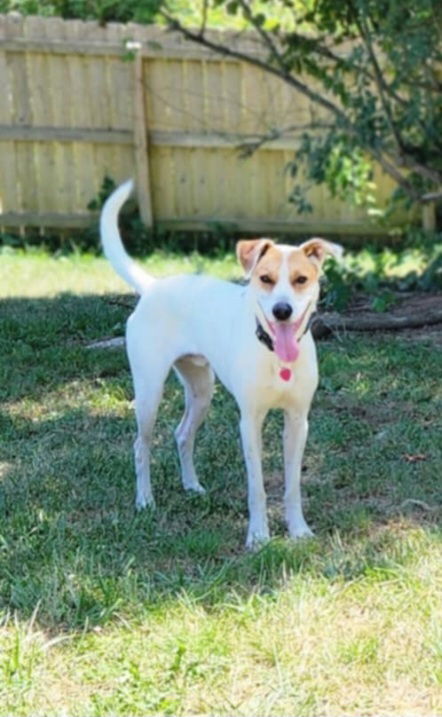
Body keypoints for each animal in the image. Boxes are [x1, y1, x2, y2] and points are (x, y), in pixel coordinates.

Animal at [99, 180, 342, 548]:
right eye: (265, 278)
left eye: (301, 279)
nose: (282, 310)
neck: (274, 355)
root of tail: (154, 287)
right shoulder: (250, 422)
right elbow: (257, 488)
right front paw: (258, 535)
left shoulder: (298, 421)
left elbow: (292, 486)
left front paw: (298, 529)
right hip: (149, 391)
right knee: (141, 446)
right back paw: (145, 500)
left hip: (202, 390)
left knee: (182, 434)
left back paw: (191, 486)